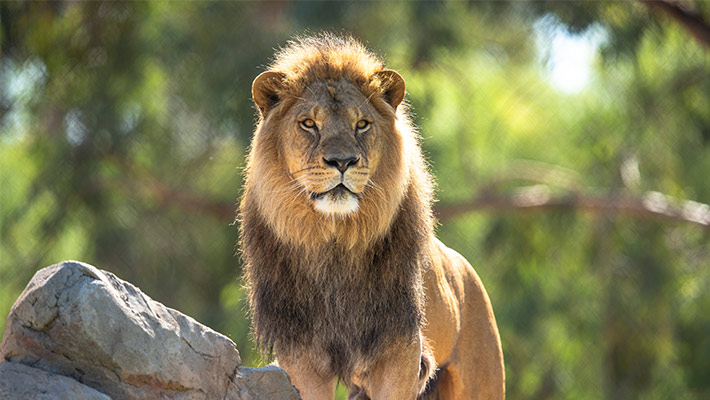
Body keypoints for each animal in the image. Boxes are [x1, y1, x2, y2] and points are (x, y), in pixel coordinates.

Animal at [240, 34, 504, 399]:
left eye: (361, 124)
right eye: (309, 124)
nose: (342, 161)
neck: (334, 241)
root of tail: (467, 270)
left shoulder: (399, 348)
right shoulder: (301, 353)